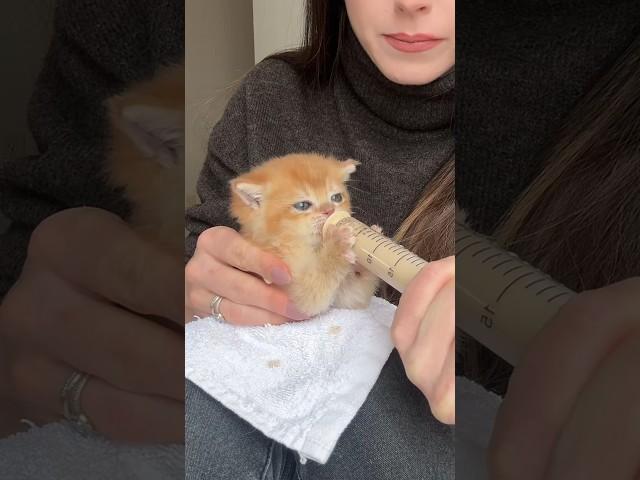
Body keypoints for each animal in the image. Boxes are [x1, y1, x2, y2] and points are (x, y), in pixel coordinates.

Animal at [230, 152, 380, 316]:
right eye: (302, 205)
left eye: (336, 198)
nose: (330, 210)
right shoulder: (294, 291)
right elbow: (318, 285)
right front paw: (337, 244)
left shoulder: (345, 298)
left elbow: (355, 296)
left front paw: (368, 255)